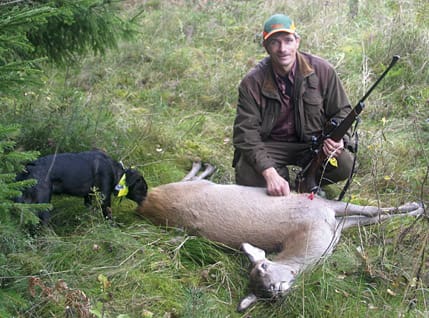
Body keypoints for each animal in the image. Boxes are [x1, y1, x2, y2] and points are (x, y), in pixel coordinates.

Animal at [15, 150, 148, 222]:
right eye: (143, 189)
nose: (147, 201)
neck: (116, 172)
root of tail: (29, 169)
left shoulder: (88, 196)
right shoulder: (104, 198)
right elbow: (108, 215)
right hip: (43, 203)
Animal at [136, 163, 422, 312]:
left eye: (264, 266)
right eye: (260, 294)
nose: (275, 291)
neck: (312, 238)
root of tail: (146, 206)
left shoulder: (323, 209)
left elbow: (372, 212)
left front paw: (417, 206)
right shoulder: (325, 214)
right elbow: (373, 214)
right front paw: (417, 208)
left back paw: (204, 166)